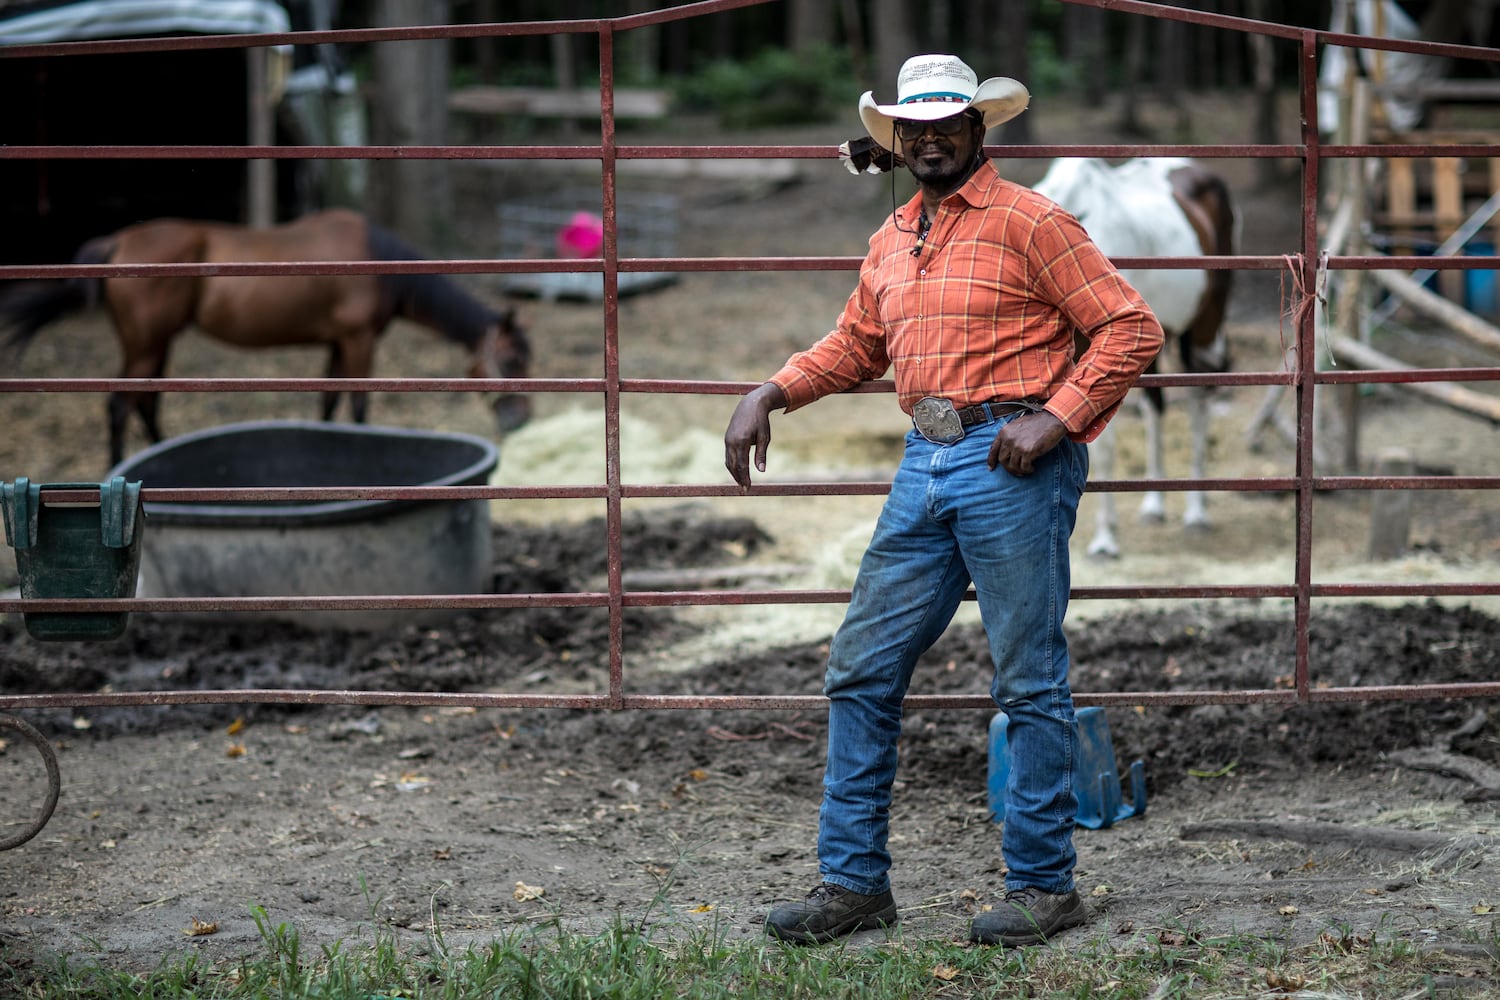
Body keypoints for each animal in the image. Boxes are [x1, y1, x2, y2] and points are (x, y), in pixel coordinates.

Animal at [0, 209, 537, 467]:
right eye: (512, 361)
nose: (521, 419)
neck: (381, 263)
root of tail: (117, 243)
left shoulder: (336, 343)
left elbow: (329, 403)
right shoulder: (358, 340)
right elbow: (359, 403)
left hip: (156, 345)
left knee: (146, 404)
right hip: (146, 346)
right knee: (119, 406)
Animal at [1038, 160, 1236, 560]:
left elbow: (1102, 445)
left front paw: (1104, 540)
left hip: (1204, 329)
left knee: (1199, 403)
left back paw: (1196, 511)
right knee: (1155, 407)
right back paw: (1154, 505)